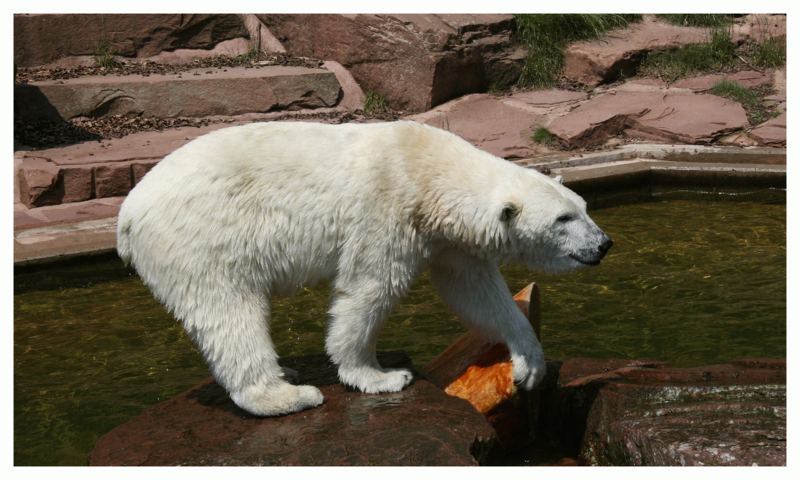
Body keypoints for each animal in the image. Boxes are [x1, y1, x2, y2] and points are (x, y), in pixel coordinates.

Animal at [115, 120, 608, 416]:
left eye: (584, 207)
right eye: (563, 219)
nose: (603, 244)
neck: (426, 169)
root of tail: (127, 216)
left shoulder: (447, 239)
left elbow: (475, 292)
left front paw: (529, 363)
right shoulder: (386, 211)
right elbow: (368, 290)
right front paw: (381, 376)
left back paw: (289, 375)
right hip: (202, 238)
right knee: (229, 311)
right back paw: (287, 395)